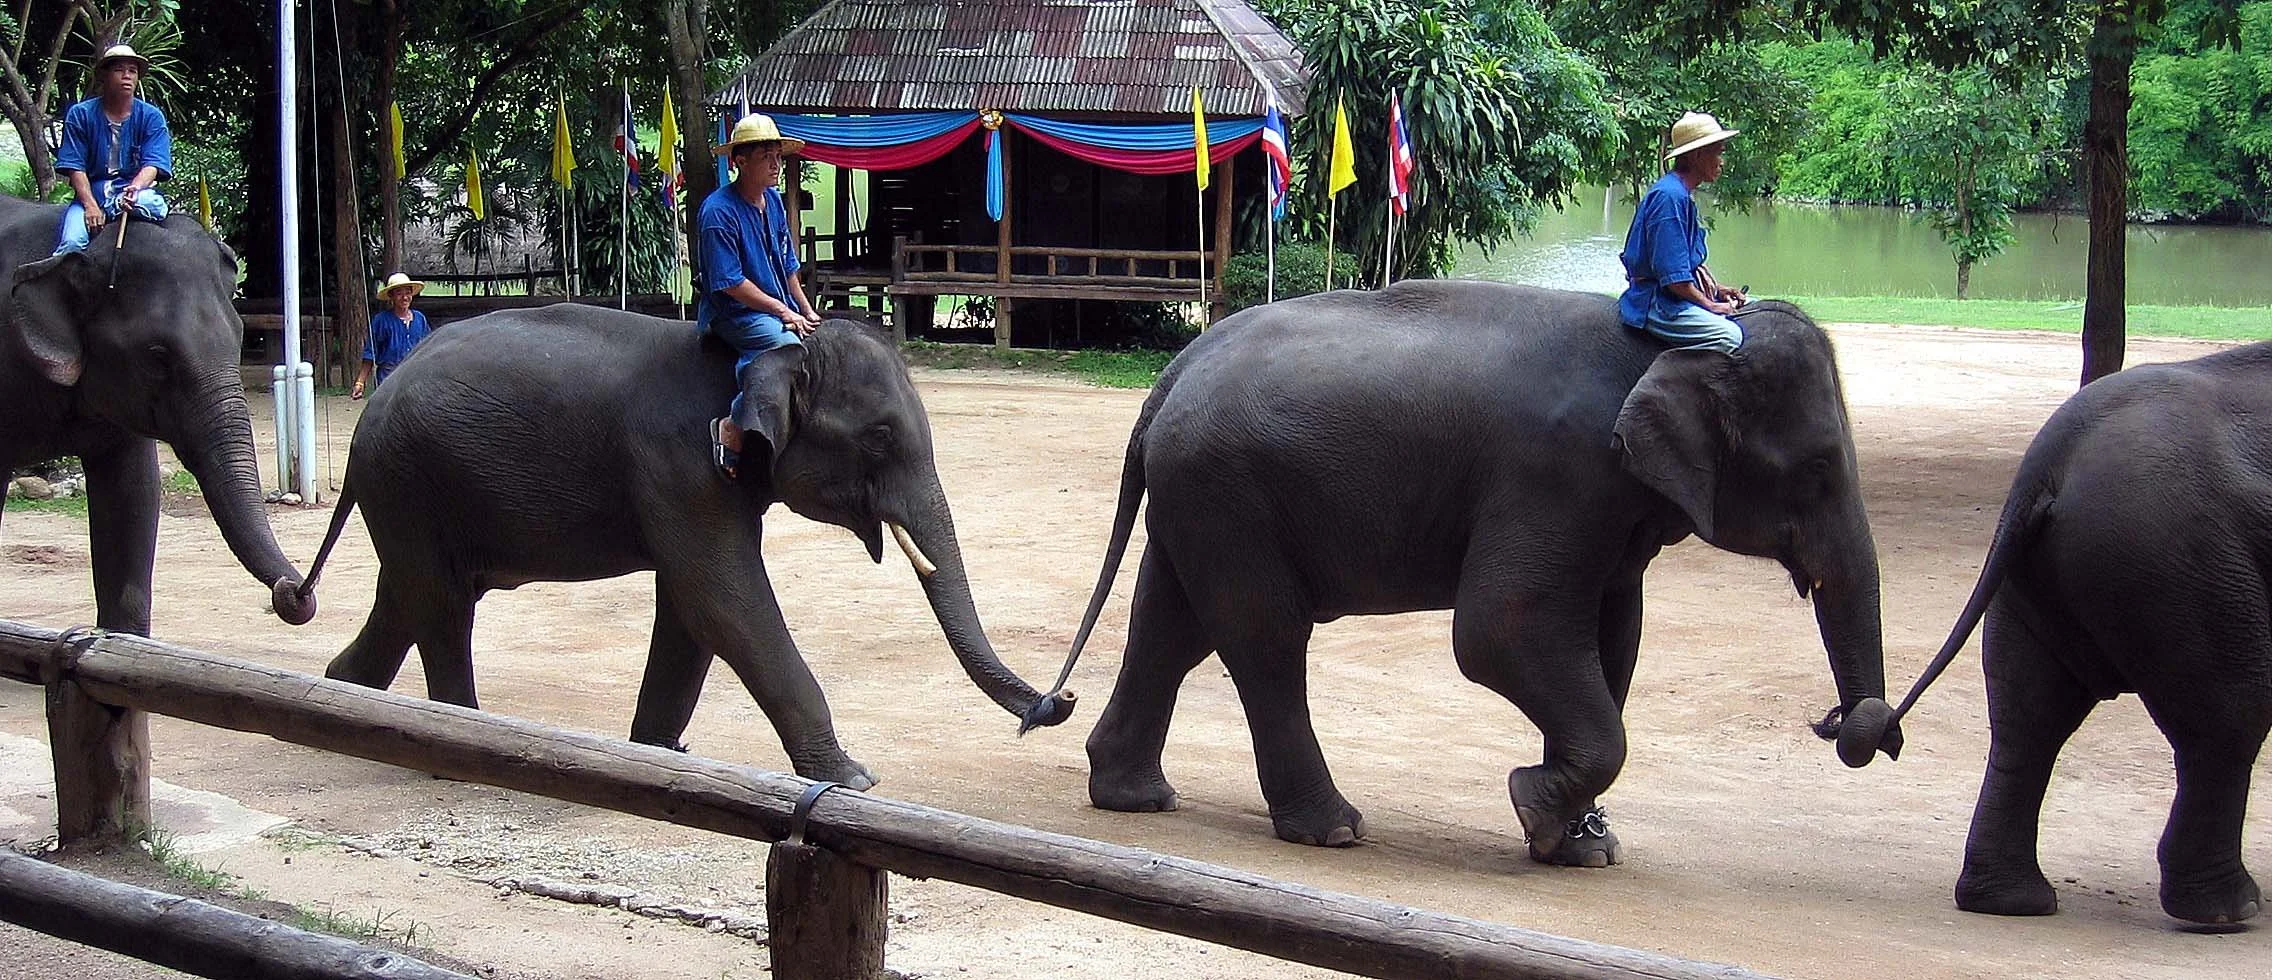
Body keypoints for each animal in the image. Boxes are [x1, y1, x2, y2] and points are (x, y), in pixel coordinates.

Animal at [293, 305, 1075, 788]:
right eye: (880, 435)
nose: (1057, 702)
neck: (769, 355)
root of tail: (368, 414)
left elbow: (691, 612)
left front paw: (659, 758)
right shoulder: (680, 463)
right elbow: (722, 603)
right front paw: (854, 778)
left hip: (414, 492)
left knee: (411, 594)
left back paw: (341, 696)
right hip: (410, 478)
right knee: (438, 602)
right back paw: (449, 745)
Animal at [1042, 281, 1901, 865]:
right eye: (1818, 470)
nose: (1845, 723)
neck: (1678, 346)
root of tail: (1173, 371)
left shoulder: (1608, 510)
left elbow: (1614, 642)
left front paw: (1581, 846)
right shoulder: (1558, 477)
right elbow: (1500, 632)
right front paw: (1533, 809)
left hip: (1201, 495)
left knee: (1172, 623)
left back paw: (1137, 798)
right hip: (1229, 493)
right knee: (1264, 637)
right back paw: (1335, 830)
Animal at [1892, 340, 2272, 926]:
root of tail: (2051, 460)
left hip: (2047, 572)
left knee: (2028, 718)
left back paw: (2012, 903)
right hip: (2176, 556)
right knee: (2230, 715)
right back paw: (2229, 912)